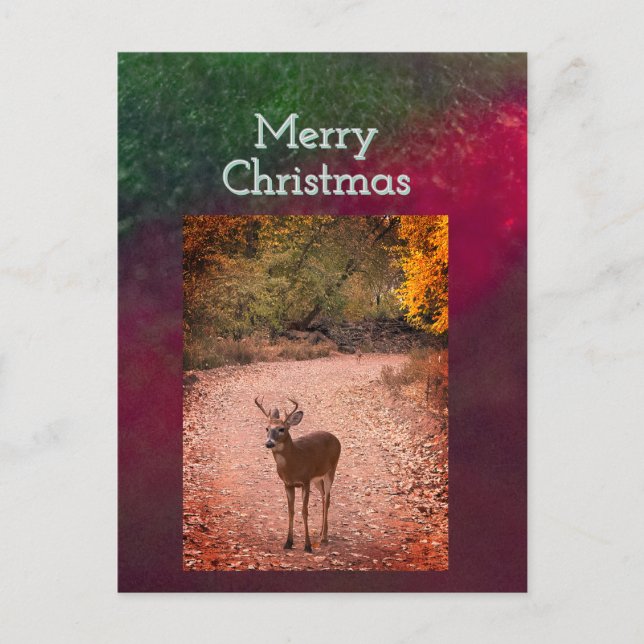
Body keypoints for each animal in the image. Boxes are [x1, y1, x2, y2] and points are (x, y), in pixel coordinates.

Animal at [254, 396, 341, 553]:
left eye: (281, 429)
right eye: (267, 428)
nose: (269, 443)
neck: (294, 463)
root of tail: (336, 438)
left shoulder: (305, 481)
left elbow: (304, 511)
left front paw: (307, 546)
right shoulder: (288, 484)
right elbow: (291, 511)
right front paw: (288, 542)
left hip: (331, 470)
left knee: (328, 498)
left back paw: (324, 537)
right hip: (317, 479)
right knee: (323, 497)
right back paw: (321, 532)